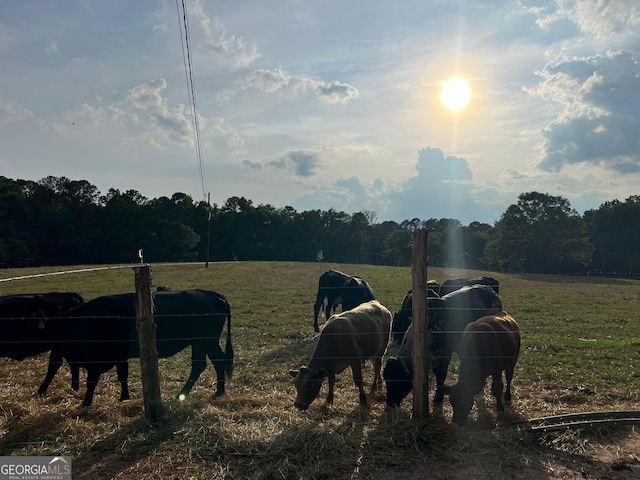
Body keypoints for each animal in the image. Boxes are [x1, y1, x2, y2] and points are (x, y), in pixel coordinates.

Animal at [37, 288, 234, 404]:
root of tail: (213, 295)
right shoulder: (119, 357)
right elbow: (122, 375)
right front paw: (124, 397)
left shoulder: (101, 358)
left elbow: (94, 379)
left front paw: (86, 402)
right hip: (200, 342)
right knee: (205, 363)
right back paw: (206, 392)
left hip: (206, 341)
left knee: (215, 361)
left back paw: (215, 391)